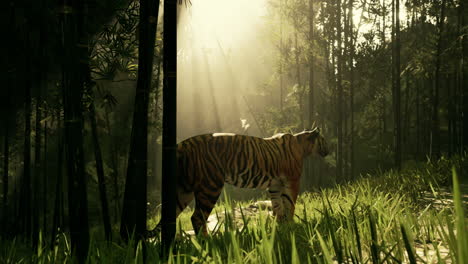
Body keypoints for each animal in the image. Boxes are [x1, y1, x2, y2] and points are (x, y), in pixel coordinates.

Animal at [150, 128, 330, 237]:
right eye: (324, 140)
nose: (329, 151)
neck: (302, 145)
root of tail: (183, 144)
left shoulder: (275, 185)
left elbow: (278, 205)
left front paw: (279, 226)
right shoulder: (292, 181)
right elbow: (290, 204)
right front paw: (291, 225)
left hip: (183, 190)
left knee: (170, 216)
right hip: (210, 186)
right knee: (197, 217)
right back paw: (208, 241)